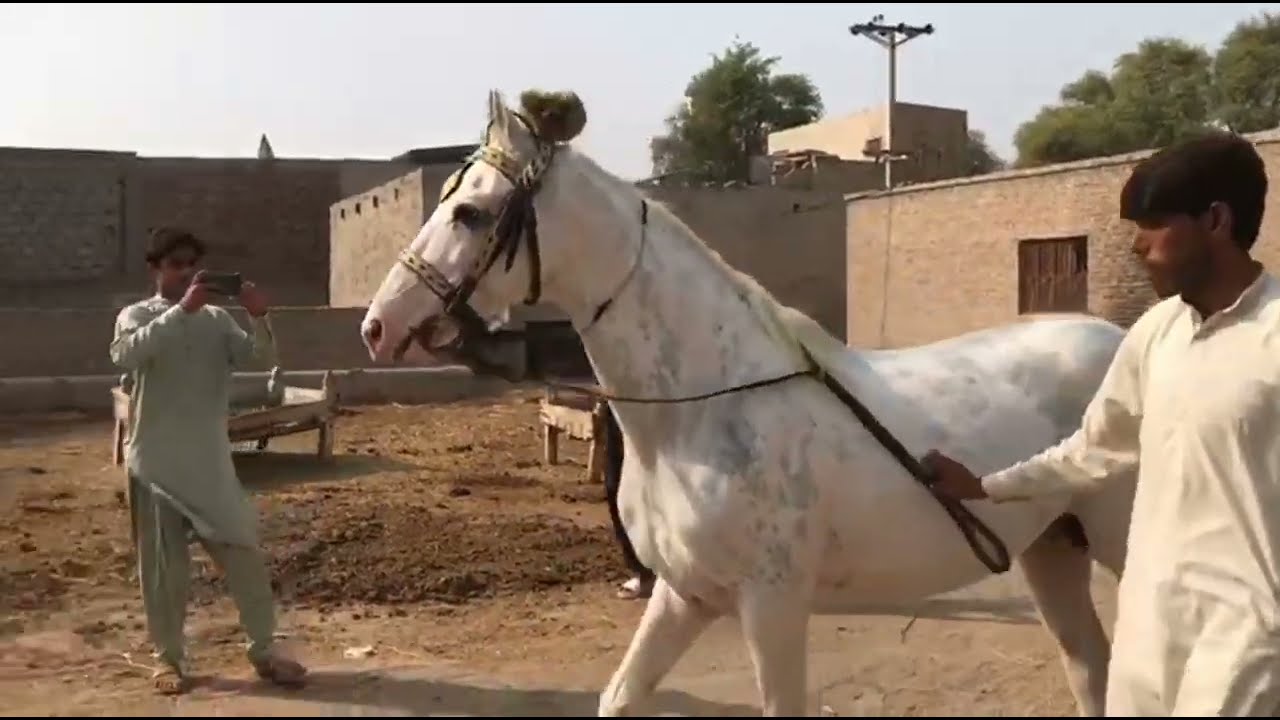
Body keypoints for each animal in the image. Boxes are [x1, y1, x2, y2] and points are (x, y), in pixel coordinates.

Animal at [358, 88, 1137, 717]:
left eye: (469, 211)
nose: (377, 326)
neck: (701, 411)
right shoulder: (682, 596)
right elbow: (619, 697)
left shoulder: (773, 606)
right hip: (1051, 551)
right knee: (1090, 667)